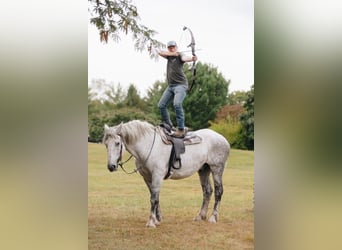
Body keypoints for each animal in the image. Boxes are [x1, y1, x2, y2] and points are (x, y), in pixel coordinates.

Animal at [102, 120, 230, 228]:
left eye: (117, 143)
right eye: (106, 144)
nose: (111, 166)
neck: (147, 145)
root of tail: (223, 139)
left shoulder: (157, 176)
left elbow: (153, 198)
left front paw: (151, 222)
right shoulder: (147, 178)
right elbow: (155, 197)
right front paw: (157, 219)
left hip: (216, 169)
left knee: (218, 191)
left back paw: (213, 217)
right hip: (203, 170)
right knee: (207, 191)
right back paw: (200, 216)